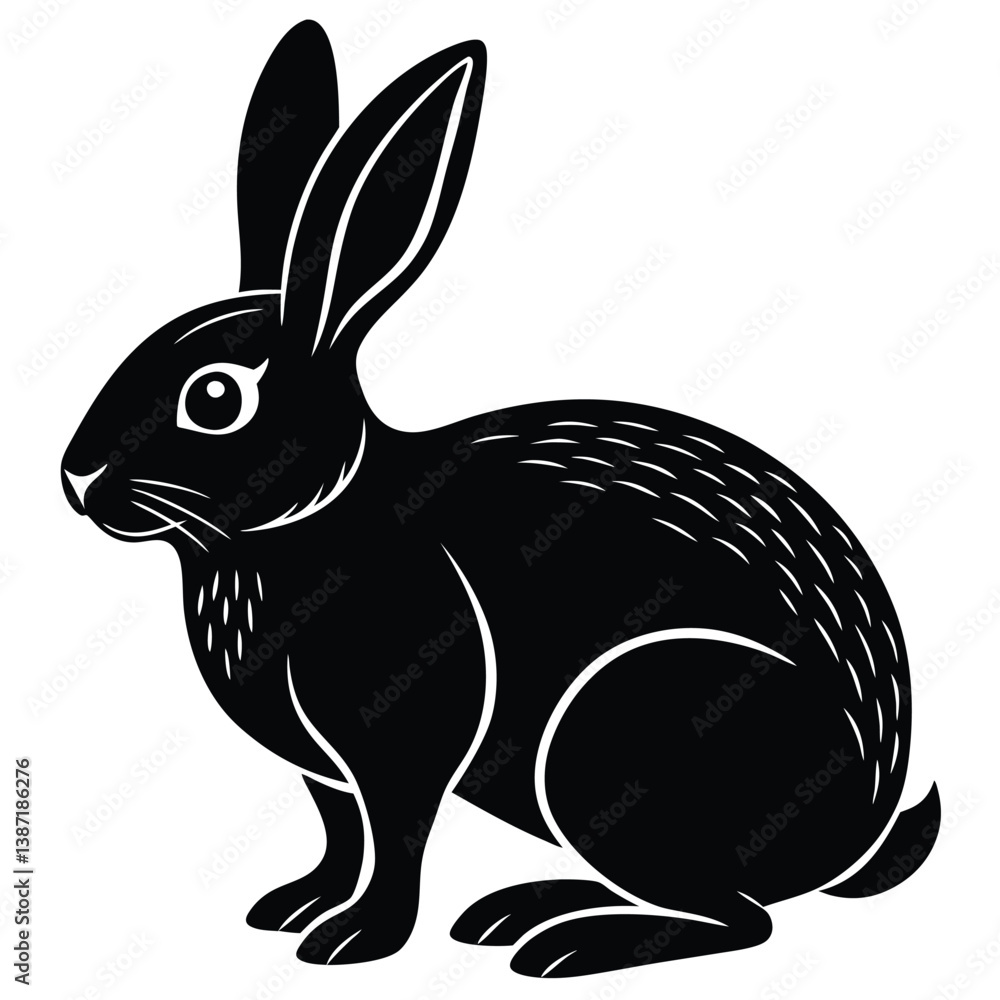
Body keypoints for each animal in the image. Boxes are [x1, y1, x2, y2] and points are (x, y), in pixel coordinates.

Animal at [62, 19, 940, 977]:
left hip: (615, 740)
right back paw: (521, 910)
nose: (76, 479)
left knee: (739, 919)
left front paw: (354, 941)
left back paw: (564, 944)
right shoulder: (323, 772)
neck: (303, 520)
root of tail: (857, 832)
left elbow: (395, 838)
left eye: (215, 398)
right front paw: (295, 908)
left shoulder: (398, 743)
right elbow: (340, 835)